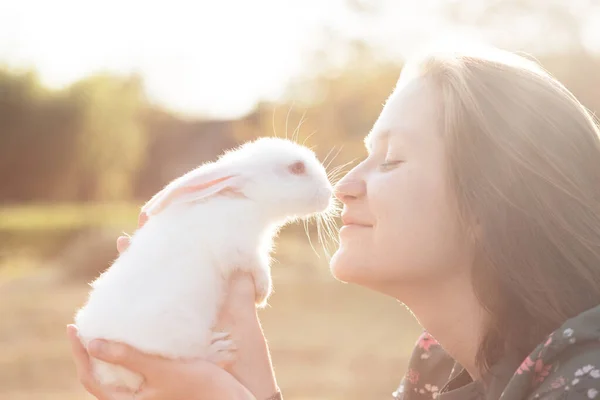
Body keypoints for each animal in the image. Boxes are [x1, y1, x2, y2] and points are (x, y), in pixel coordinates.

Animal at [73, 137, 336, 390]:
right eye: (297, 167)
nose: (329, 193)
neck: (246, 199)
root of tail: (105, 371)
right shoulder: (240, 249)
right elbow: (258, 267)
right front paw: (262, 293)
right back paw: (219, 350)